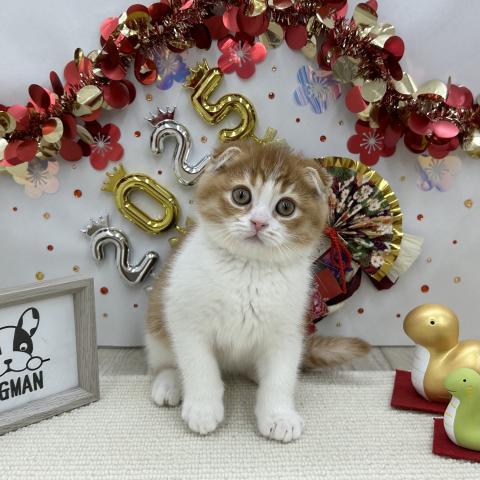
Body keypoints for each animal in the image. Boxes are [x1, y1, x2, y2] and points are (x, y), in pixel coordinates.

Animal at [146, 140, 370, 442]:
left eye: (285, 207)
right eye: (241, 195)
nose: (259, 222)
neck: (249, 268)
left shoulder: (287, 330)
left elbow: (280, 377)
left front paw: (279, 415)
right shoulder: (187, 319)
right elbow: (199, 367)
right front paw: (203, 408)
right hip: (157, 320)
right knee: (166, 359)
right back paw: (169, 383)